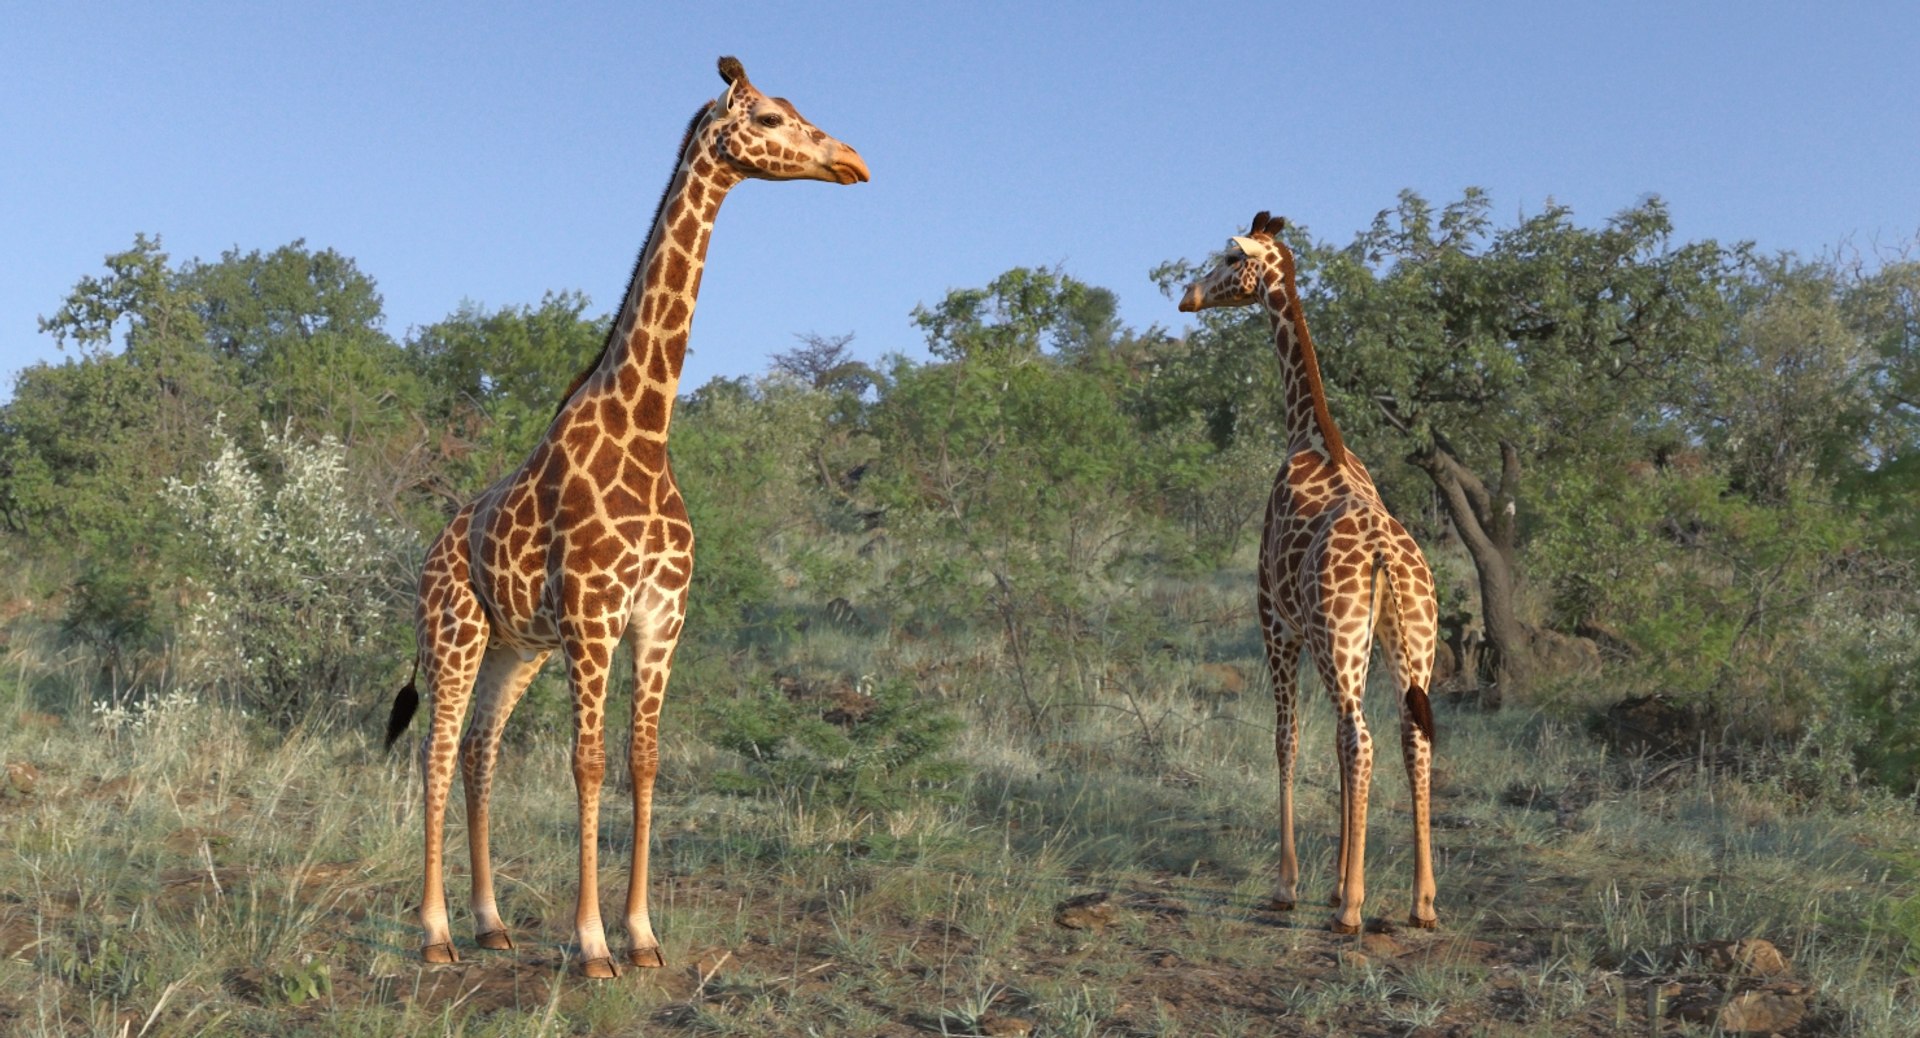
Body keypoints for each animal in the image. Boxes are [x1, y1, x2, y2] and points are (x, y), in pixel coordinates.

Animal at [384, 56, 869, 978]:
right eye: (768, 117)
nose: (853, 161)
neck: (646, 429)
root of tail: (430, 546)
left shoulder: (659, 620)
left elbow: (643, 765)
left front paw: (642, 936)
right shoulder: (593, 618)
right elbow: (589, 765)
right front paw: (591, 943)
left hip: (516, 647)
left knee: (479, 751)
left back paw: (490, 923)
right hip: (455, 630)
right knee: (436, 751)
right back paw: (434, 934)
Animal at [1178, 212, 1440, 934]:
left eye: (1226, 259)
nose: (1187, 298)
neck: (1311, 434)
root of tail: (1384, 556)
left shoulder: (1275, 620)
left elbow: (1286, 738)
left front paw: (1291, 885)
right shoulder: (1325, 638)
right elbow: (1321, 744)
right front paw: (1329, 883)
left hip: (1338, 639)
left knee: (1360, 738)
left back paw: (1351, 910)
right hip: (1409, 641)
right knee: (1408, 735)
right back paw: (1422, 902)